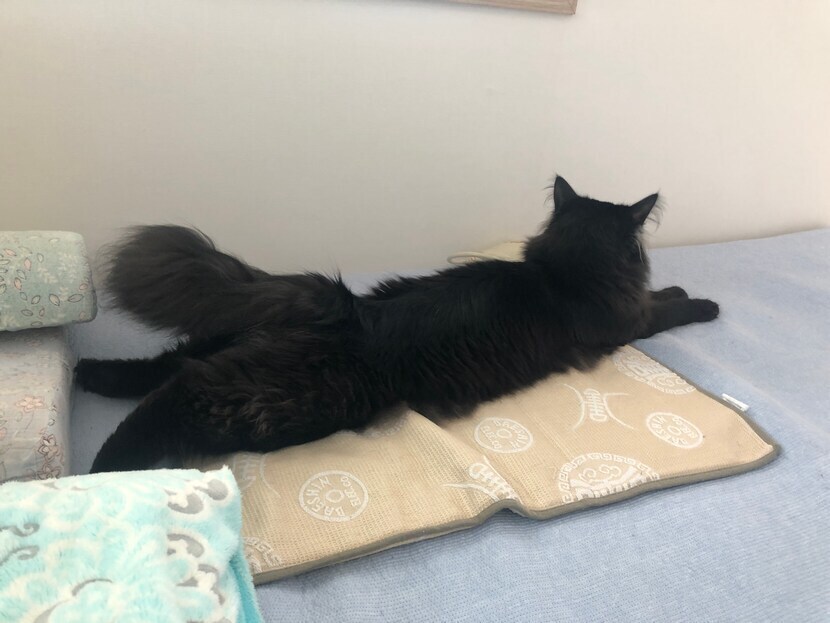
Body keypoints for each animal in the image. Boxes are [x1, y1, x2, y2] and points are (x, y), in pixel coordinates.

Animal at [76, 176, 719, 473]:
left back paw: (89, 373)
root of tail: (348, 307)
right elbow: (665, 307)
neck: (564, 269)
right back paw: (101, 475)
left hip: (226, 343)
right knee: (173, 396)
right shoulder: (626, 324)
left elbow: (659, 297)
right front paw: (702, 301)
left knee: (162, 366)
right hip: (271, 401)